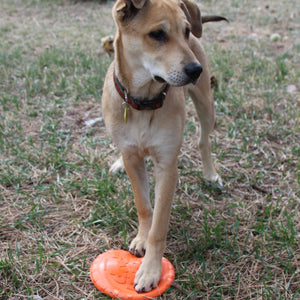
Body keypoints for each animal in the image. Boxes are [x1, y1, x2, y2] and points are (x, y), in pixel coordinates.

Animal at [102, 0, 226, 292]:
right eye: (157, 34)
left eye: (186, 31)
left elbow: (159, 225)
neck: (142, 102)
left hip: (206, 103)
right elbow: (144, 205)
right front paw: (141, 238)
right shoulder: (134, 159)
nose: (195, 70)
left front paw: (150, 270)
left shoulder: (167, 166)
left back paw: (210, 174)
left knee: (203, 140)